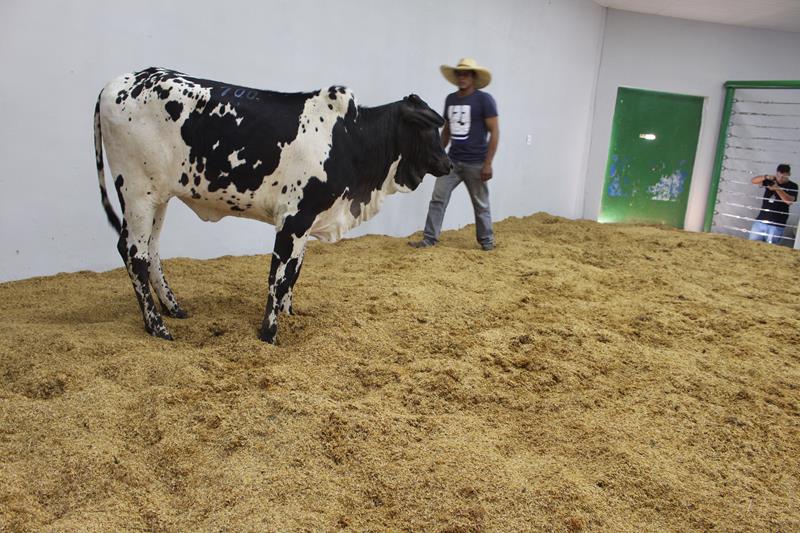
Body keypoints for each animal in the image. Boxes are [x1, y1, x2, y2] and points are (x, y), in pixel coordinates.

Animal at [94, 66, 450, 342]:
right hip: (137, 192)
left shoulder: (306, 223)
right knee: (134, 253)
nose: (447, 164)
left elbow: (293, 273)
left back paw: (174, 309)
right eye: (427, 127)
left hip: (158, 197)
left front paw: (289, 317)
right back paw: (158, 327)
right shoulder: (294, 218)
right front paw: (269, 334)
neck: (350, 139)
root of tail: (120, 81)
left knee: (151, 249)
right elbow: (277, 278)